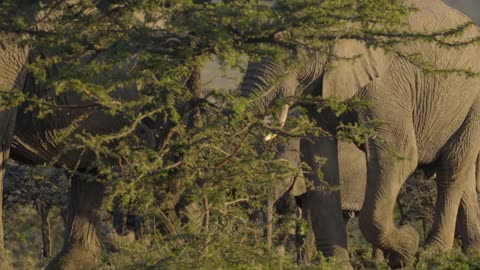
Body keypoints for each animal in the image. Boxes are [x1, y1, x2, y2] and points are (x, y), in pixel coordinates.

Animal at [240, 0, 480, 266]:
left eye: (294, 50)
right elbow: (319, 159)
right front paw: (336, 266)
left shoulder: (387, 84)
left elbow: (398, 155)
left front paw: (406, 247)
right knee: (461, 175)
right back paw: (470, 254)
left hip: (473, 102)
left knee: (452, 168)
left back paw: (432, 254)